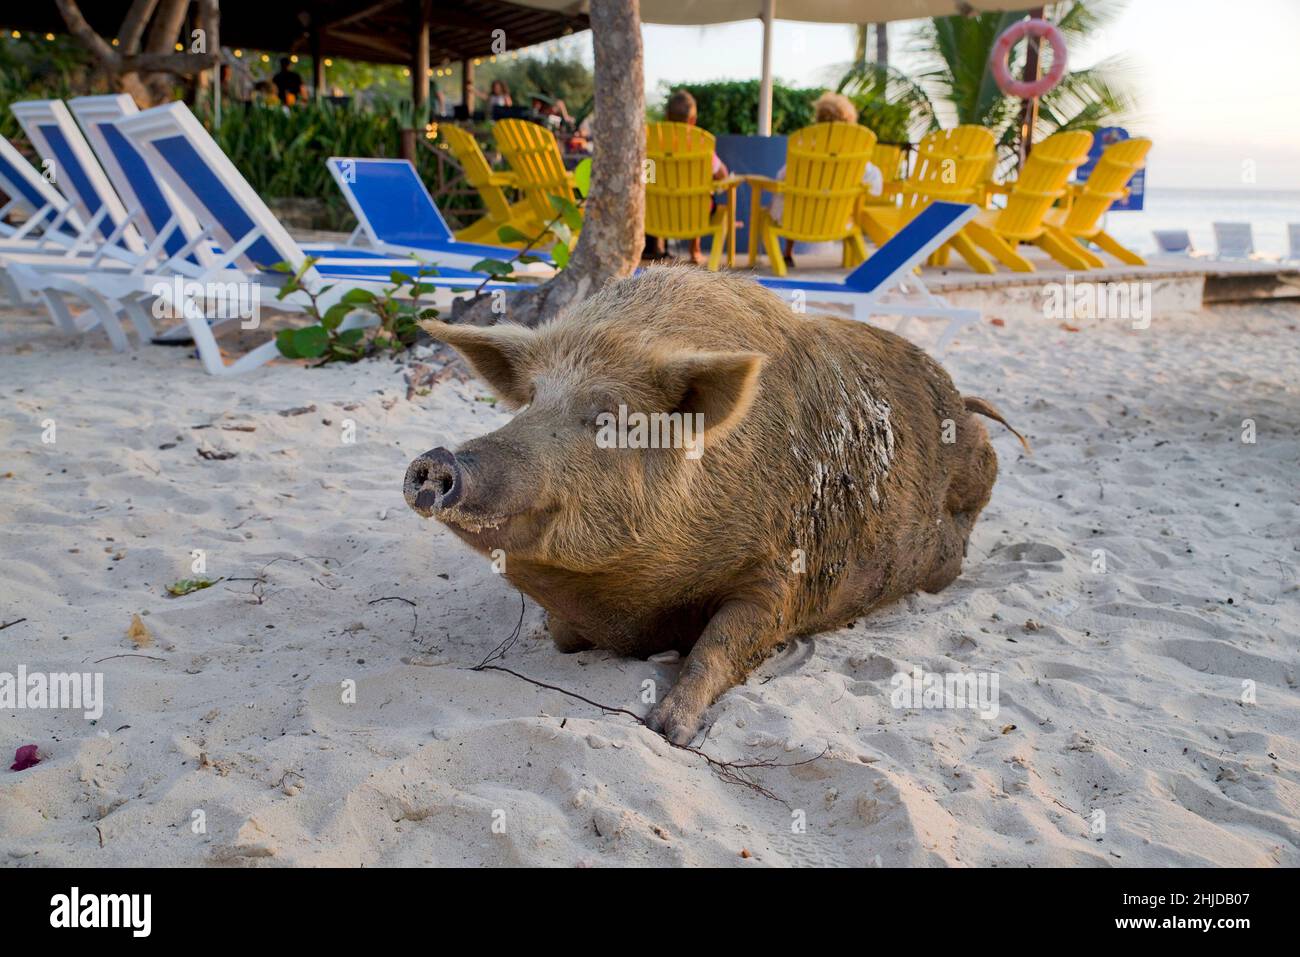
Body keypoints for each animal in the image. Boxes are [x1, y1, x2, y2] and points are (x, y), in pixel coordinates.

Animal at [405, 265, 1024, 743]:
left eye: (610, 417)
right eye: (531, 399)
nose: (437, 461)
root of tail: (964, 403)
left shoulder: (785, 569)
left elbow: (724, 642)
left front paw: (665, 730)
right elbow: (562, 635)